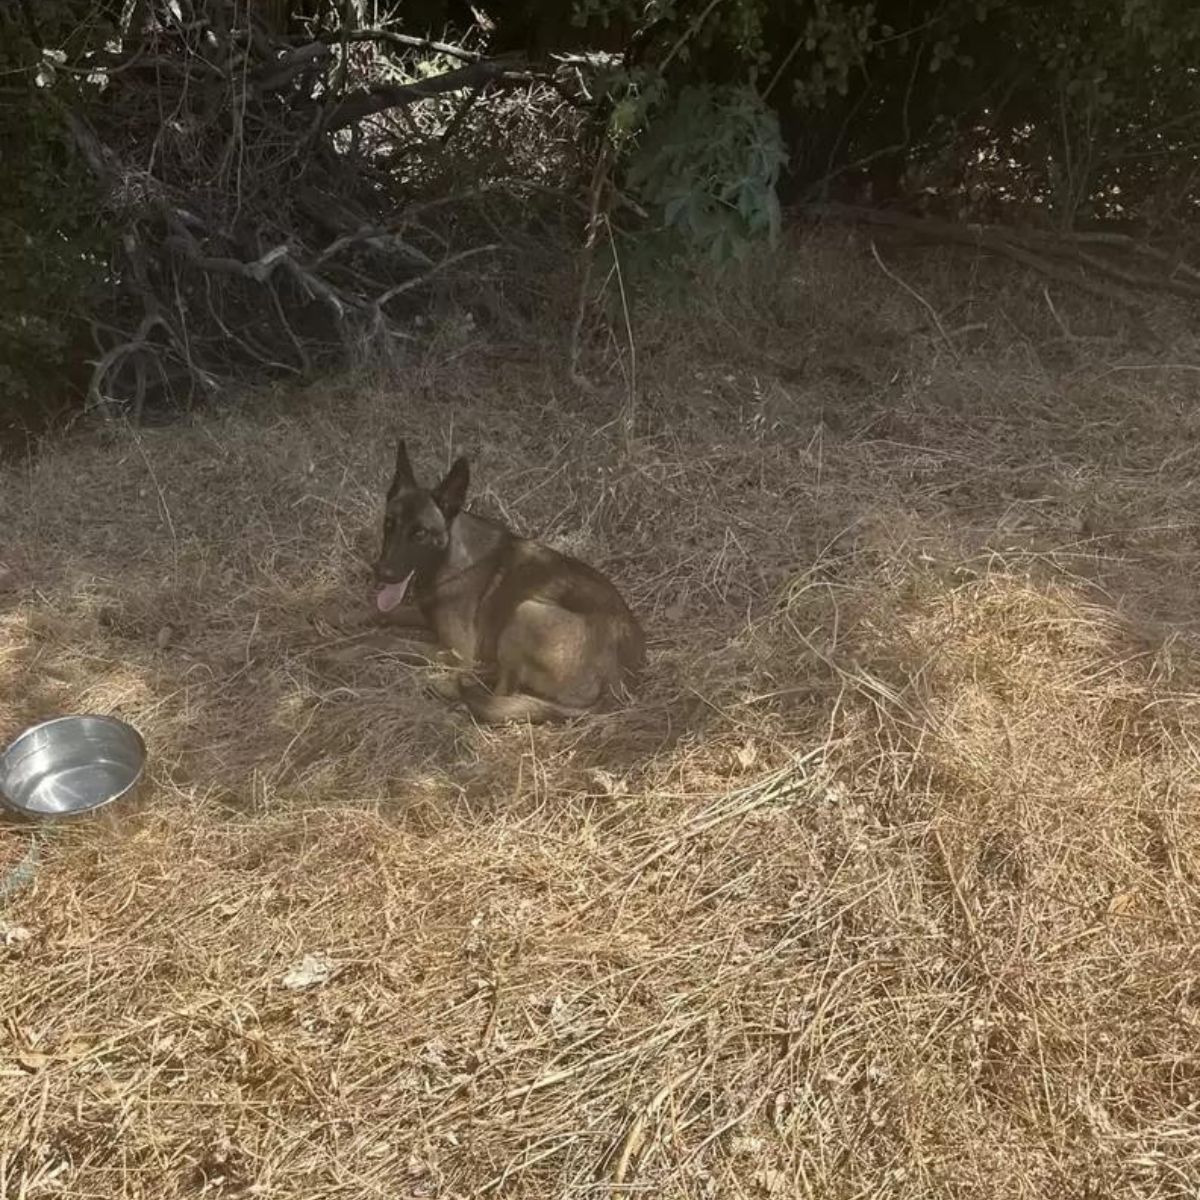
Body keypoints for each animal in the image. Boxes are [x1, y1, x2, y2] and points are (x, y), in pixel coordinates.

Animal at [374, 441, 648, 720]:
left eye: (419, 533)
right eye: (389, 524)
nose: (381, 572)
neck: (449, 555)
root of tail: (617, 682)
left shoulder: (458, 652)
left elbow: (390, 641)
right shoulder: (423, 613)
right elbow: (381, 611)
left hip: (525, 612)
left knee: (500, 695)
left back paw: (456, 693)